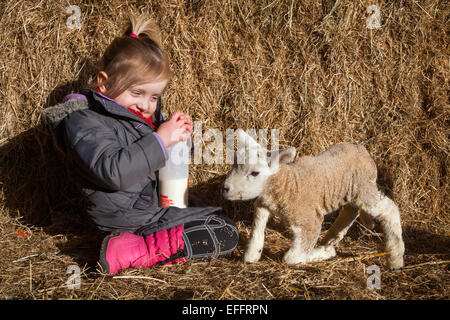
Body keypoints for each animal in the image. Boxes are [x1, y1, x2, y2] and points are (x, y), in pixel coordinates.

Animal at [223, 130, 406, 270]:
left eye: (255, 173)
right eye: (234, 166)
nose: (225, 188)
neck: (286, 183)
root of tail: (362, 150)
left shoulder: (309, 221)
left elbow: (291, 258)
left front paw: (324, 253)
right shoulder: (263, 203)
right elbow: (257, 228)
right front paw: (252, 254)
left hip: (363, 187)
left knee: (389, 209)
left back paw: (395, 259)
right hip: (349, 190)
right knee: (350, 210)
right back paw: (331, 238)